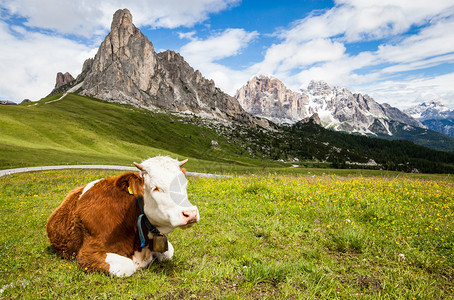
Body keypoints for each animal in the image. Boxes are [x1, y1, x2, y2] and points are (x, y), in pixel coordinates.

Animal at [45, 156, 199, 278]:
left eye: (185, 185)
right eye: (155, 188)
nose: (191, 213)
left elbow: (168, 253)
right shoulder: (87, 254)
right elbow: (127, 266)